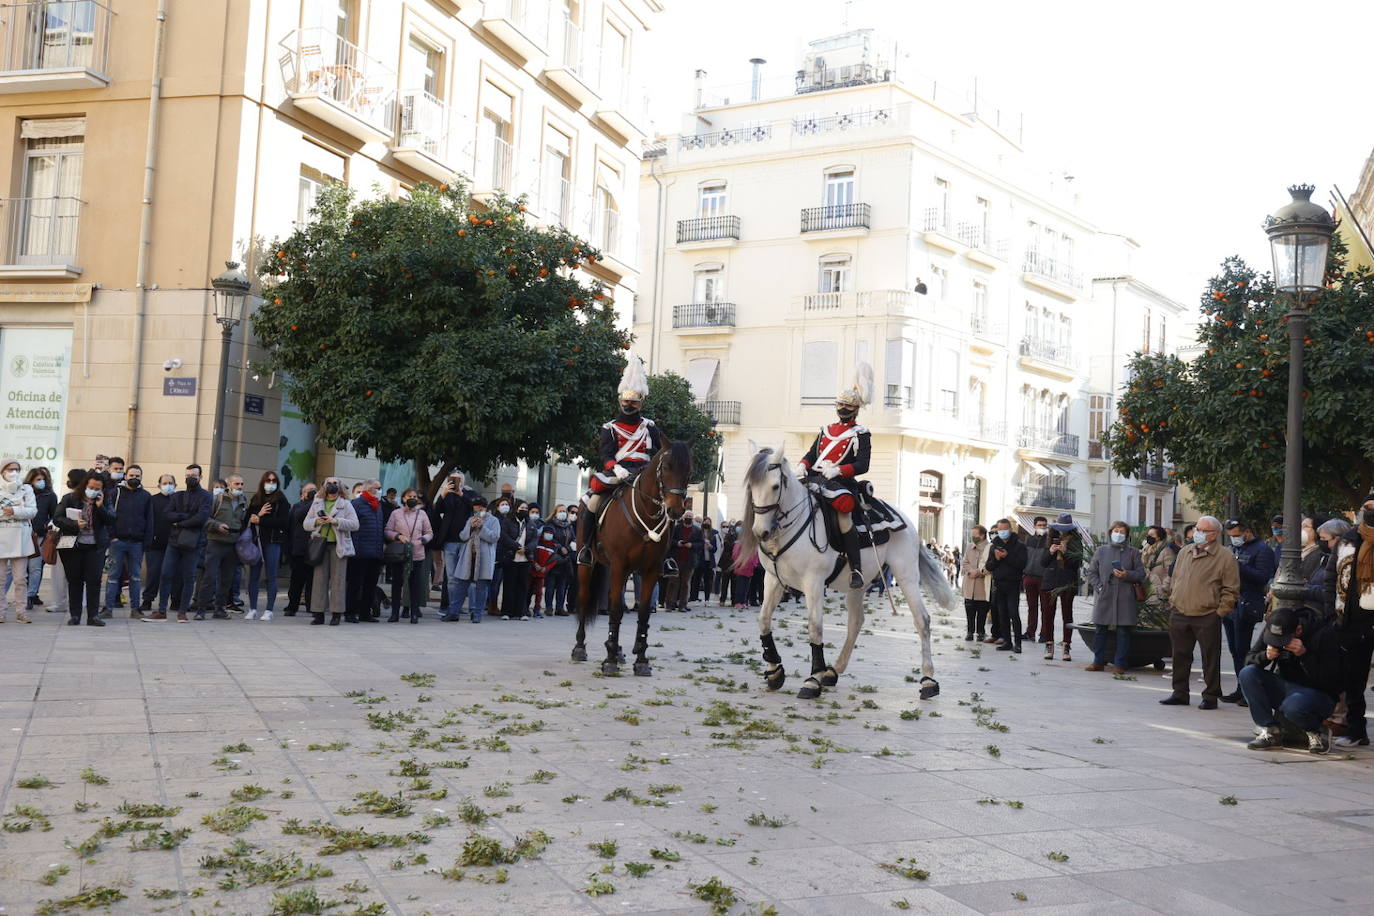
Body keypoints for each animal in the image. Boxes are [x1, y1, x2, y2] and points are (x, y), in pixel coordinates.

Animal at [571, 439, 692, 678]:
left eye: (688, 471)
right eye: (666, 467)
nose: (675, 511)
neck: (646, 511)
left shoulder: (650, 570)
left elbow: (643, 612)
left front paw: (641, 660)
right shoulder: (620, 565)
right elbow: (616, 610)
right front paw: (609, 661)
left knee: (613, 599)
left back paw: (617, 650)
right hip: (588, 565)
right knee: (584, 598)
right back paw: (580, 647)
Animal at [741, 444, 956, 703]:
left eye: (775, 486)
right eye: (751, 486)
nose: (760, 532)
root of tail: (905, 519)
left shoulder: (813, 582)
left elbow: (815, 627)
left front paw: (812, 679)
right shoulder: (773, 579)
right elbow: (763, 620)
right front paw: (775, 671)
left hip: (906, 575)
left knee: (922, 619)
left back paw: (928, 680)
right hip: (859, 584)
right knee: (856, 621)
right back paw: (833, 671)